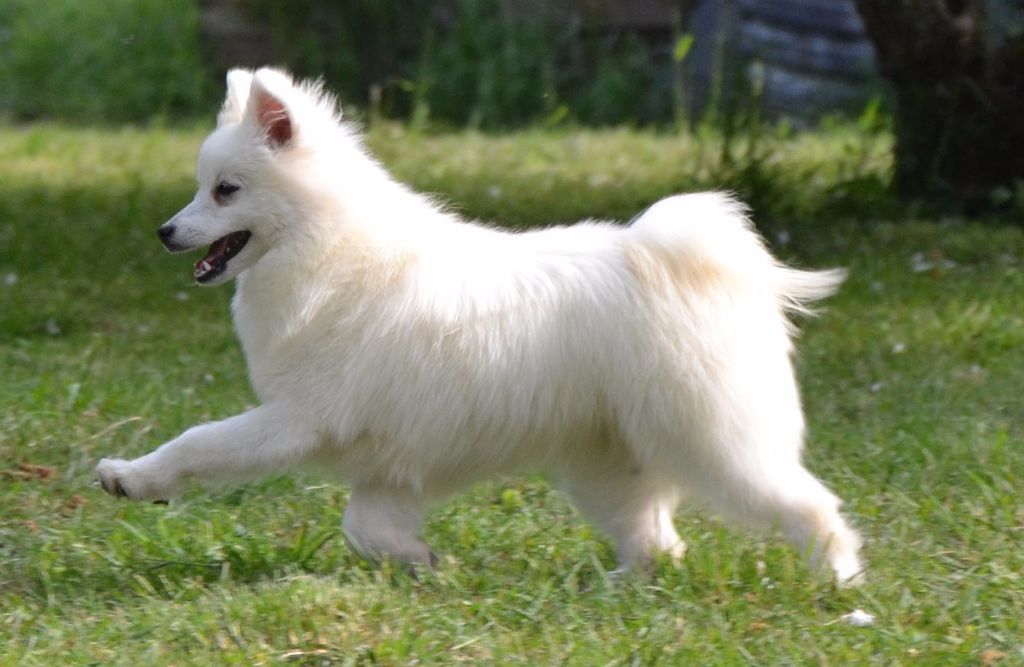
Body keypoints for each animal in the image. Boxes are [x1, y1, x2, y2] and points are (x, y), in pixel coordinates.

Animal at [97, 69, 864, 586]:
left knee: (808, 504)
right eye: (200, 188)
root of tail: (681, 258)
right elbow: (365, 528)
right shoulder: (386, 462)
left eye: (225, 191)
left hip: (714, 446)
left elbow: (200, 443)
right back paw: (617, 588)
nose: (165, 232)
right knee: (656, 543)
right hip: (605, 465)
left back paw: (840, 583)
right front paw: (424, 562)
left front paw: (132, 477)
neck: (328, 249)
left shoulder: (297, 418)